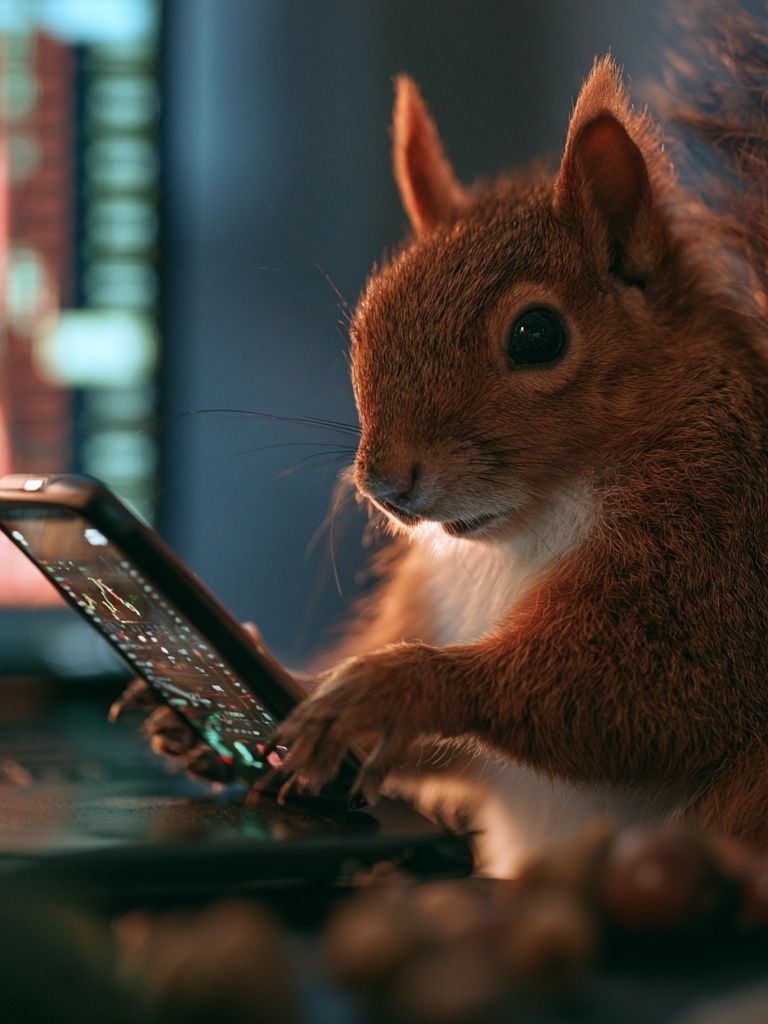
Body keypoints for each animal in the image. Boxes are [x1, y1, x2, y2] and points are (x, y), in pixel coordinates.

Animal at [117, 4, 768, 873]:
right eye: (365, 323)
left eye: (537, 335)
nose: (385, 484)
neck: (527, 525)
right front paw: (252, 692)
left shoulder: (714, 549)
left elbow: (654, 691)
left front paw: (394, 686)